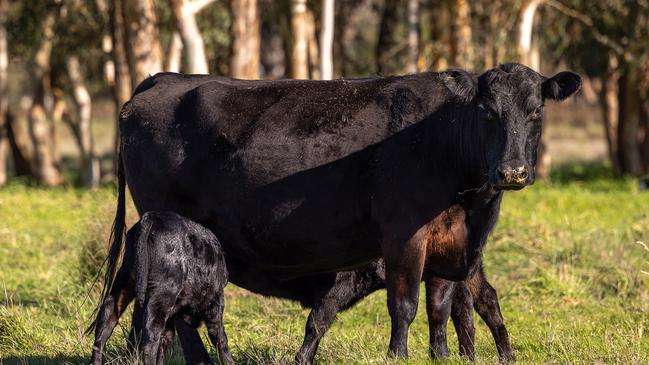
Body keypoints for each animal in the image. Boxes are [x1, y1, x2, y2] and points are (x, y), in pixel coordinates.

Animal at [88, 210, 233, 364]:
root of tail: (151, 217)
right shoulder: (214, 304)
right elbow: (220, 338)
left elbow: (165, 340)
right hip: (164, 293)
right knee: (150, 336)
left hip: (123, 283)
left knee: (104, 327)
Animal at [102, 62, 584, 358]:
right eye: (487, 112)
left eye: (536, 110)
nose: (513, 171)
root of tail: (164, 78)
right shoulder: (403, 234)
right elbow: (404, 304)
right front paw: (397, 355)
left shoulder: (451, 244)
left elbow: (443, 307)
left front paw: (441, 357)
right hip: (175, 239)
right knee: (174, 317)